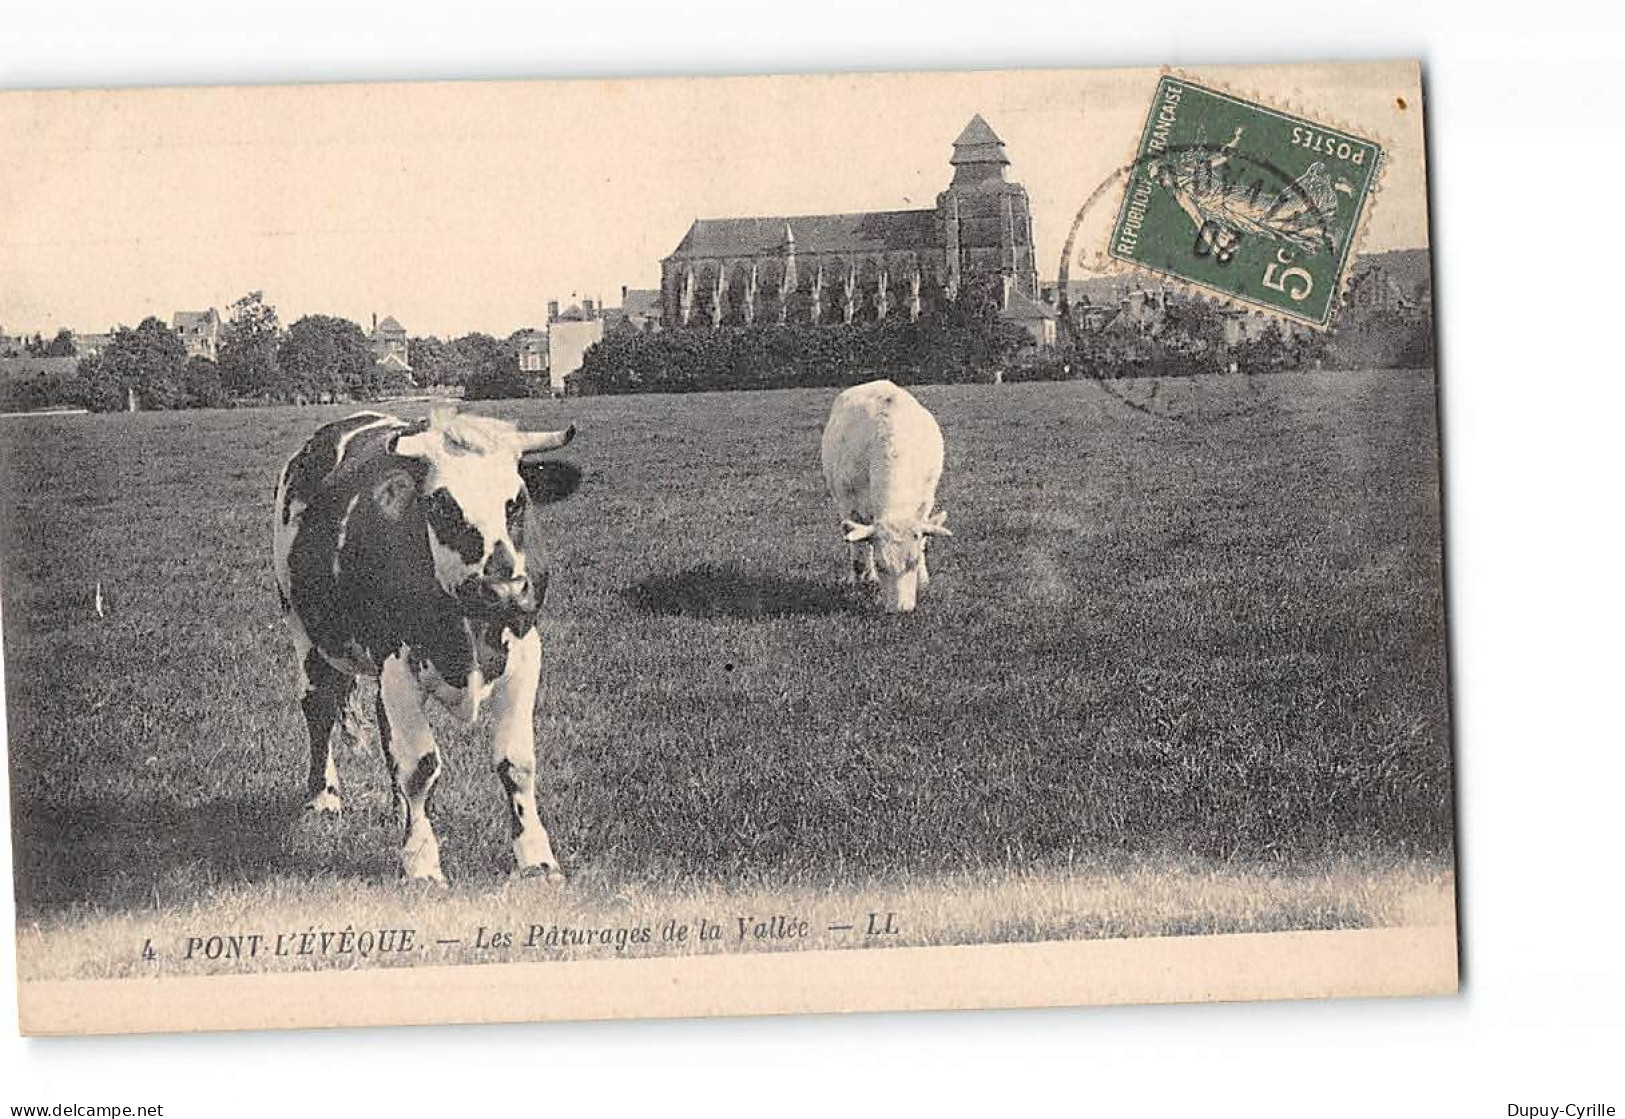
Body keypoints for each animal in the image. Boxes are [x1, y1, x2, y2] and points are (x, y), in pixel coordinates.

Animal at [266, 406, 572, 883]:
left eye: (517, 501)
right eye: (443, 504)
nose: (503, 589)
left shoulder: (525, 654)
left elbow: (516, 762)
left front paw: (537, 858)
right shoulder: (396, 660)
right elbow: (420, 765)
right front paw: (422, 861)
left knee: (380, 720)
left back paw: (396, 809)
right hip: (302, 627)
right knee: (318, 708)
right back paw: (324, 797)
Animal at [819, 381, 949, 610]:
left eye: (914, 562)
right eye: (882, 565)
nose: (901, 609)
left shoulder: (925, 503)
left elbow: (923, 540)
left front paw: (923, 579)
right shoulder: (848, 504)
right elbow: (857, 551)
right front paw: (859, 579)